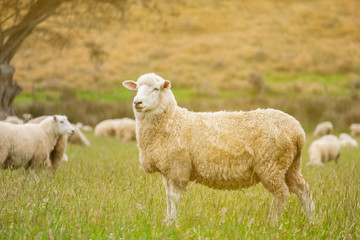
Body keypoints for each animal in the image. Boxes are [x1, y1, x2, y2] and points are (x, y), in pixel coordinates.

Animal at [122, 72, 314, 225]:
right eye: (137, 87)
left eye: (156, 89)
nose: (137, 102)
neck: (172, 121)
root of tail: (298, 131)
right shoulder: (167, 170)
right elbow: (168, 198)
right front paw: (167, 221)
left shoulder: (177, 167)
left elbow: (174, 198)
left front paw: (173, 224)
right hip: (290, 166)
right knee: (303, 191)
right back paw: (311, 221)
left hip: (272, 165)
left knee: (282, 194)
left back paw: (272, 223)